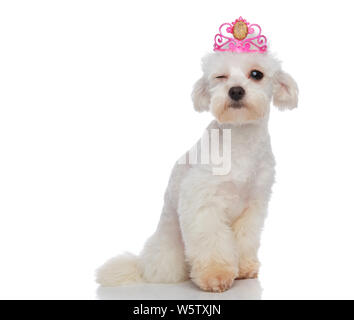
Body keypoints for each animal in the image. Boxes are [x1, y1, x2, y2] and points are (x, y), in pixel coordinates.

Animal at [97, 16, 298, 292]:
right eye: (221, 76)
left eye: (256, 74)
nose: (235, 90)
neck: (240, 140)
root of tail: (143, 267)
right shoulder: (203, 201)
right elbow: (211, 242)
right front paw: (216, 275)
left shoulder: (254, 205)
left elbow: (246, 238)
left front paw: (244, 268)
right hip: (169, 252)